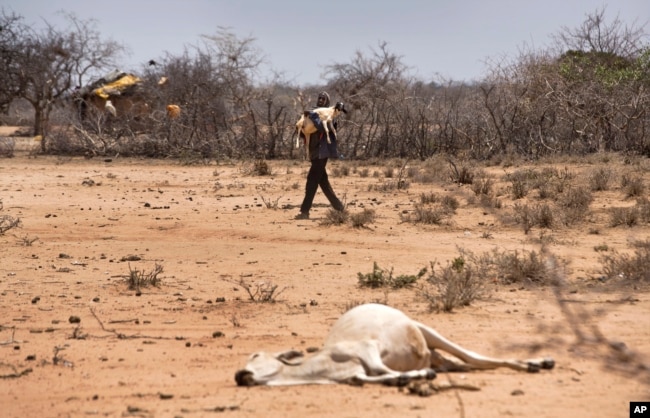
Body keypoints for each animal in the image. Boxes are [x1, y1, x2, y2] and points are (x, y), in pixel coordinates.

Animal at [235, 302, 556, 386]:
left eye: (255, 355)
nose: (240, 375)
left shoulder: (369, 349)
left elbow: (381, 369)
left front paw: (416, 376)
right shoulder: (356, 376)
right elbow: (368, 378)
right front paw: (405, 378)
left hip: (428, 331)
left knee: (474, 358)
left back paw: (538, 363)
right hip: (436, 354)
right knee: (463, 365)